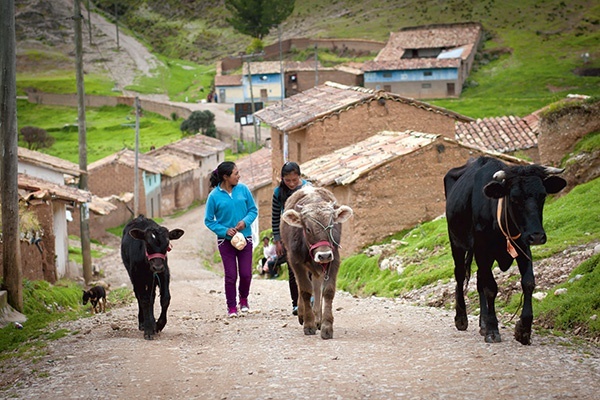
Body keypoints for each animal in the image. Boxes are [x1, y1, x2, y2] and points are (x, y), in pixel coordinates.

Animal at [280, 186, 352, 340]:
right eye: (308, 228)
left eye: (331, 225)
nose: (323, 255)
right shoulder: (295, 261)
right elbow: (305, 290)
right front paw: (309, 324)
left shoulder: (334, 258)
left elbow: (328, 291)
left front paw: (326, 327)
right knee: (301, 286)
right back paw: (303, 314)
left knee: (317, 286)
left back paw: (318, 318)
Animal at [446, 156, 568, 344]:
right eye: (514, 198)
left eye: (542, 195)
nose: (537, 236)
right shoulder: (482, 249)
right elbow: (491, 288)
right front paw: (492, 330)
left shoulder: (523, 245)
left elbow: (528, 282)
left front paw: (523, 329)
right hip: (457, 243)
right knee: (460, 275)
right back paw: (461, 319)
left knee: (479, 280)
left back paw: (482, 322)